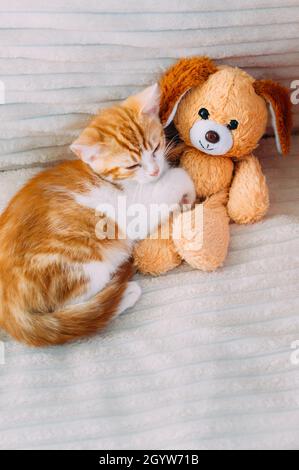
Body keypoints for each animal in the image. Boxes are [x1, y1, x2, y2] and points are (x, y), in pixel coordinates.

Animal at [0, 84, 195, 346]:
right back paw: (124, 292)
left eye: (155, 148)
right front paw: (188, 191)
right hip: (85, 265)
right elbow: (175, 180)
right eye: (132, 166)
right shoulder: (135, 209)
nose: (154, 171)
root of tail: (8, 310)